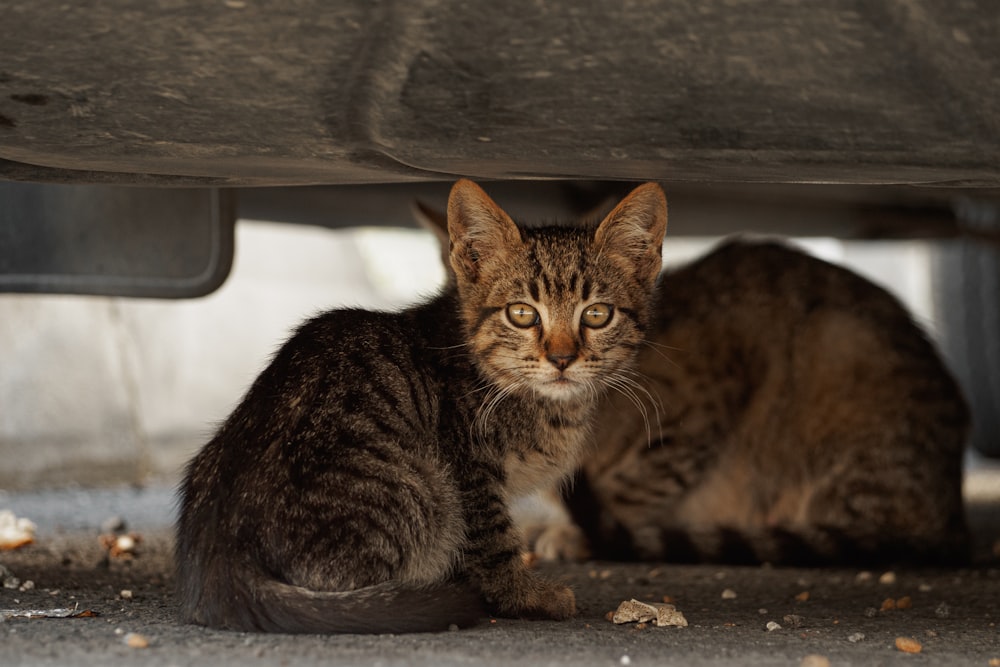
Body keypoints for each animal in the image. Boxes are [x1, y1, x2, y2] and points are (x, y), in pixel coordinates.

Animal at [176, 180, 668, 636]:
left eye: (597, 314)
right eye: (522, 314)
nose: (562, 358)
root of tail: (219, 555)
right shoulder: (469, 471)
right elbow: (493, 540)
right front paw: (523, 595)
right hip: (426, 487)